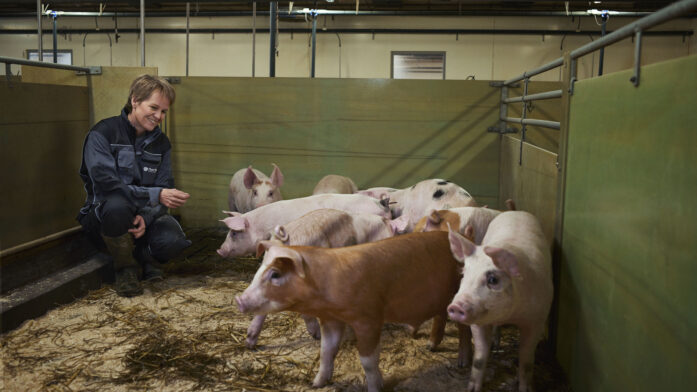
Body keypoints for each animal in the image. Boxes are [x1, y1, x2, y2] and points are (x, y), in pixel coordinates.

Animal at [237, 233, 470, 392]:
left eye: (275, 274)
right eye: (259, 270)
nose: (239, 299)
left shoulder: (369, 318)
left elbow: (367, 360)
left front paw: (375, 388)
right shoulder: (330, 320)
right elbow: (326, 352)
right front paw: (316, 384)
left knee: (464, 329)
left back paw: (462, 363)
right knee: (441, 316)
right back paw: (431, 346)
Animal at [446, 211, 556, 392]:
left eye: (493, 279)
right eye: (463, 274)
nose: (456, 306)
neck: (512, 315)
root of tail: (515, 212)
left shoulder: (537, 319)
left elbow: (526, 360)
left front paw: (526, 388)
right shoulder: (477, 323)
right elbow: (479, 358)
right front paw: (472, 389)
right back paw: (496, 344)